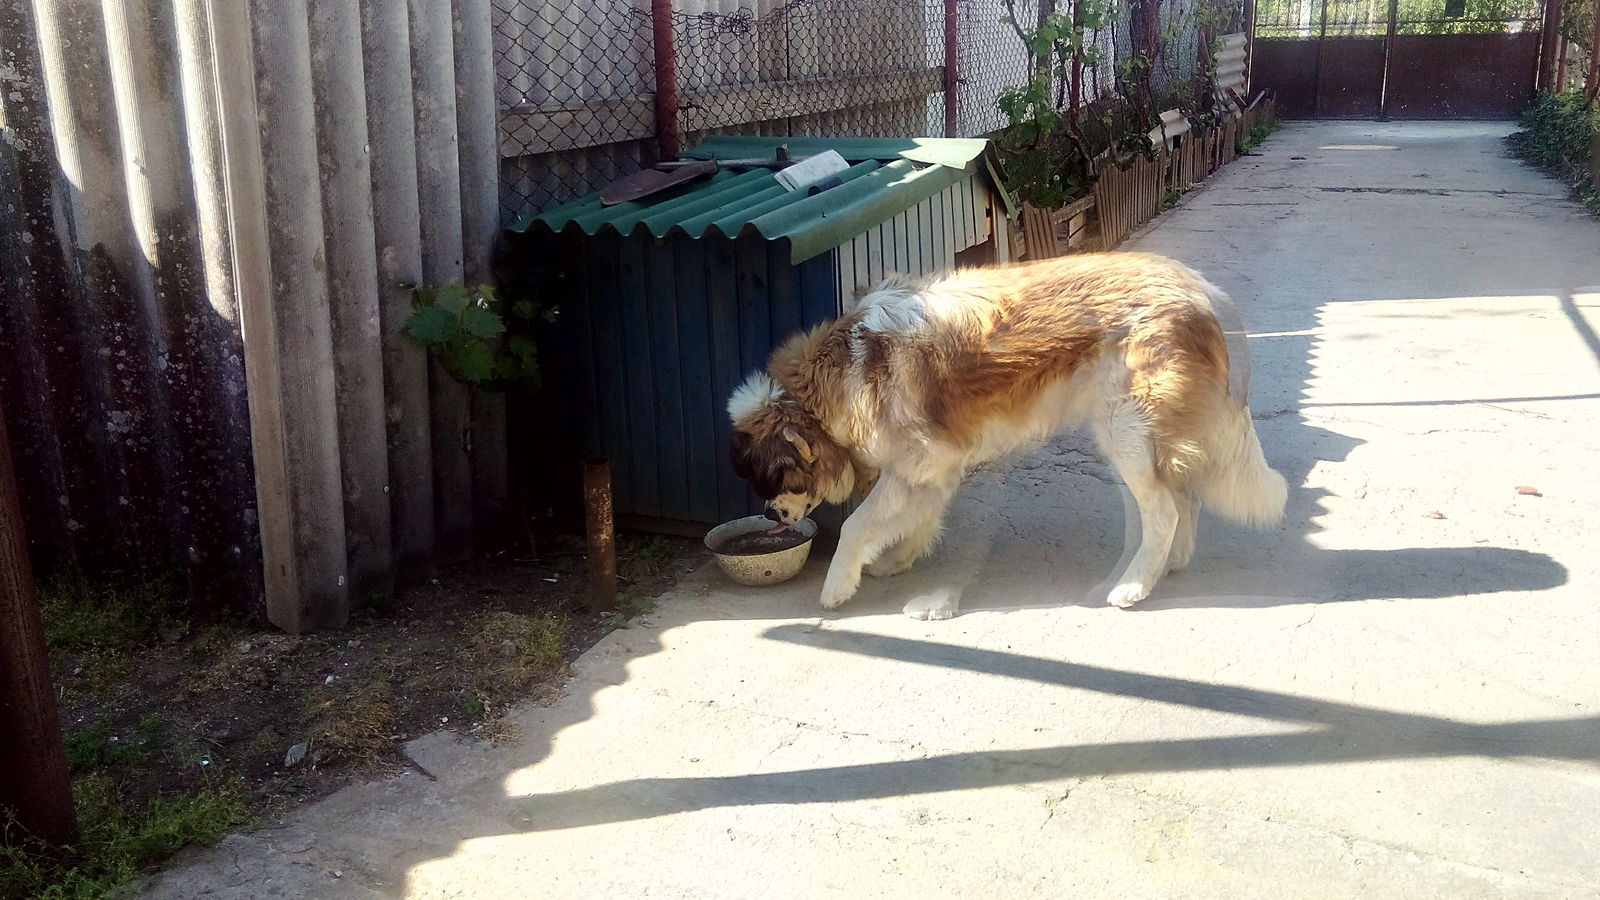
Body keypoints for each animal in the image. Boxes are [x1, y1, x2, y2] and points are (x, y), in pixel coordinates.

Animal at [732, 249, 1292, 608]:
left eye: (775, 479)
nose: (770, 514)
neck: (847, 367)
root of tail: (1199, 287)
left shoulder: (917, 463)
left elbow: (855, 526)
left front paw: (835, 588)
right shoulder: (930, 469)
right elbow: (915, 518)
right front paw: (898, 559)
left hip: (1127, 433)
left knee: (1164, 512)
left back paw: (1132, 586)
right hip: (1143, 438)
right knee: (1184, 497)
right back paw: (1168, 566)